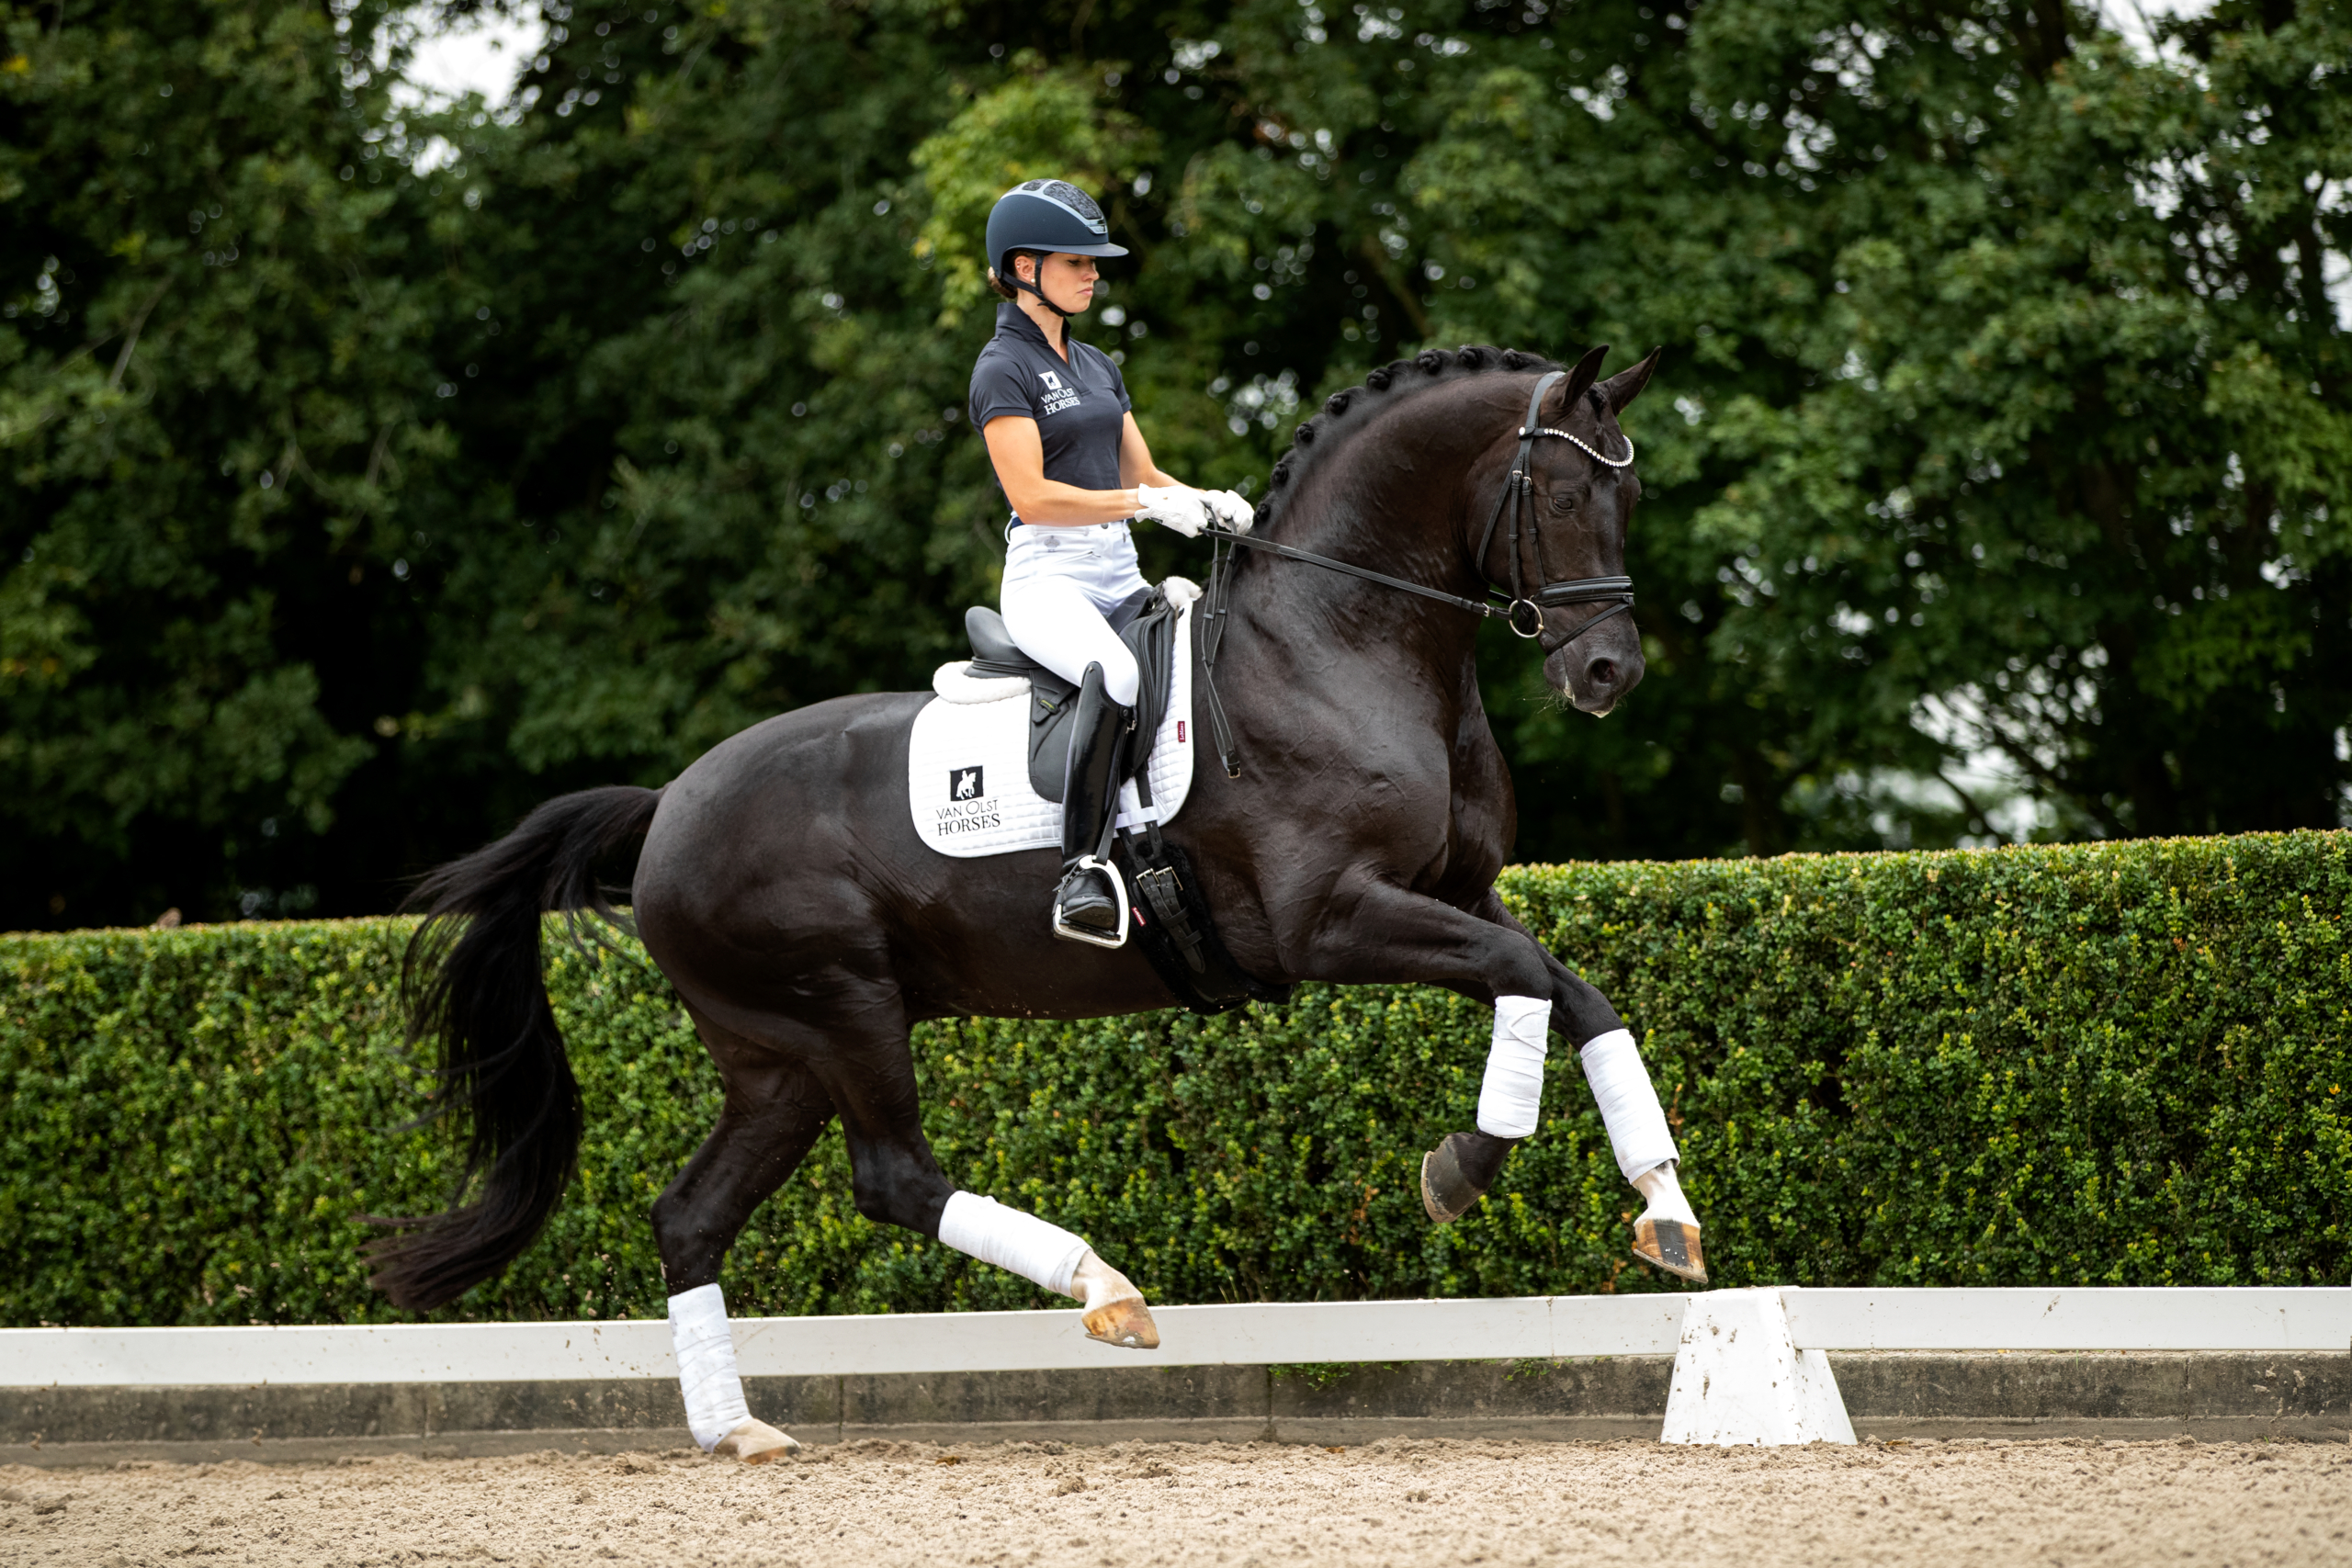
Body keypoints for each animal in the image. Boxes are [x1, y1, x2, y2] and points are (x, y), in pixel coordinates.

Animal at [371, 341, 1693, 1457]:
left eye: (1625, 501)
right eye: (1560, 497)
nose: (1607, 673)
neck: (1340, 642)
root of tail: (668, 807)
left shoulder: (1457, 892)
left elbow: (1576, 993)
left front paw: (1664, 1211)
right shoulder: (1331, 920)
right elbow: (1524, 981)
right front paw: (1464, 1166)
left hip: (776, 1056)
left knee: (691, 1215)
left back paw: (737, 1430)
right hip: (844, 1009)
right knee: (893, 1178)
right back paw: (1106, 1291)